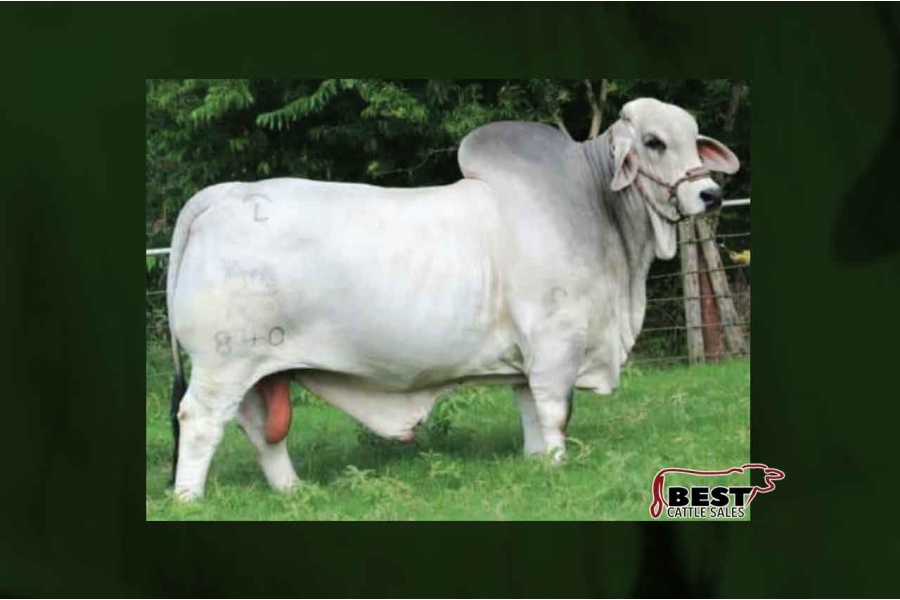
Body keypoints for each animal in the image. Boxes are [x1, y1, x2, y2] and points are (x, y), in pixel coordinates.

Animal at [164, 97, 740, 501]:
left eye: (694, 139)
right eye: (654, 142)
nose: (709, 193)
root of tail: (225, 193)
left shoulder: (528, 359)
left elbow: (530, 412)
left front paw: (536, 464)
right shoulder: (557, 344)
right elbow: (555, 412)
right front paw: (557, 464)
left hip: (259, 368)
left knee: (261, 431)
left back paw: (292, 491)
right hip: (223, 361)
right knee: (200, 422)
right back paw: (189, 498)